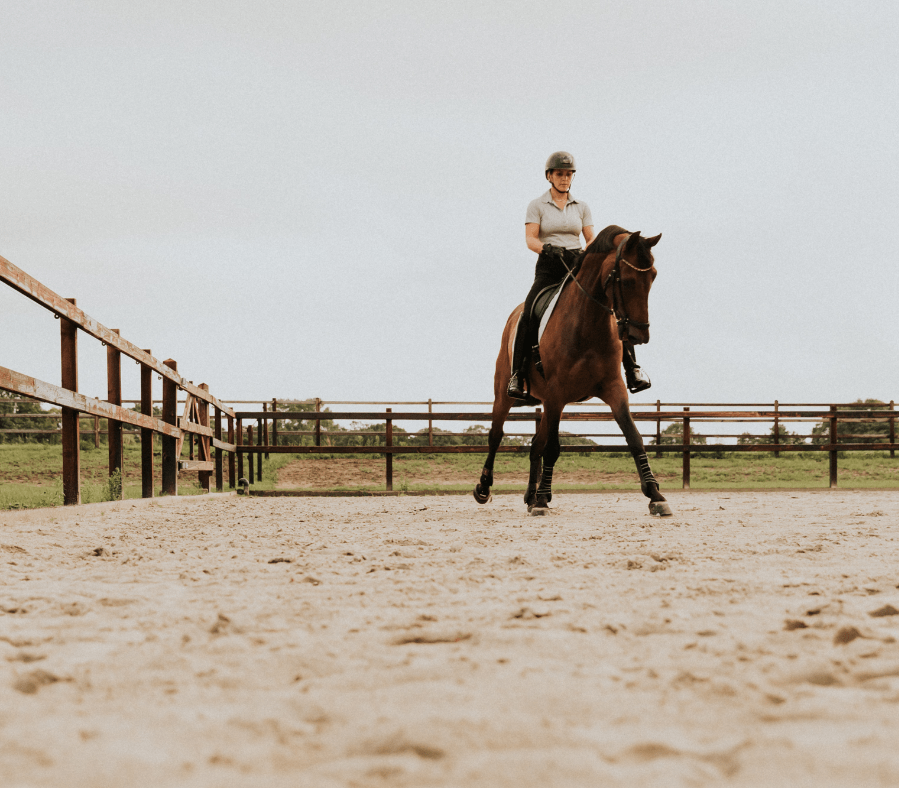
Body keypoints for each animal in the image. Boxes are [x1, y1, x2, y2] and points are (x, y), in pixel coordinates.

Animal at [474, 225, 672, 516]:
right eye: (626, 280)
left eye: (653, 277)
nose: (639, 335)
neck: (587, 323)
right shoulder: (557, 393)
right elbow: (553, 448)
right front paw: (543, 501)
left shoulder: (613, 389)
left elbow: (634, 438)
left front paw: (655, 495)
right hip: (506, 395)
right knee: (496, 436)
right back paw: (485, 488)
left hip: (546, 403)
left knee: (535, 444)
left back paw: (531, 496)